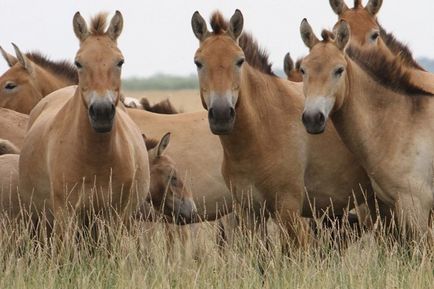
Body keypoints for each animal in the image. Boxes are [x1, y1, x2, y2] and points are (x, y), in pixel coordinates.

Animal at [18, 11, 150, 230]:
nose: (102, 111)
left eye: (120, 62)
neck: (95, 159)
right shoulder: (66, 216)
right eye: (78, 63)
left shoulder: (116, 217)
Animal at [190, 9, 376, 244]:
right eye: (198, 63)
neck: (262, 130)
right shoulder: (249, 213)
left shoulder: (289, 210)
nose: (222, 114)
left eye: (240, 61)